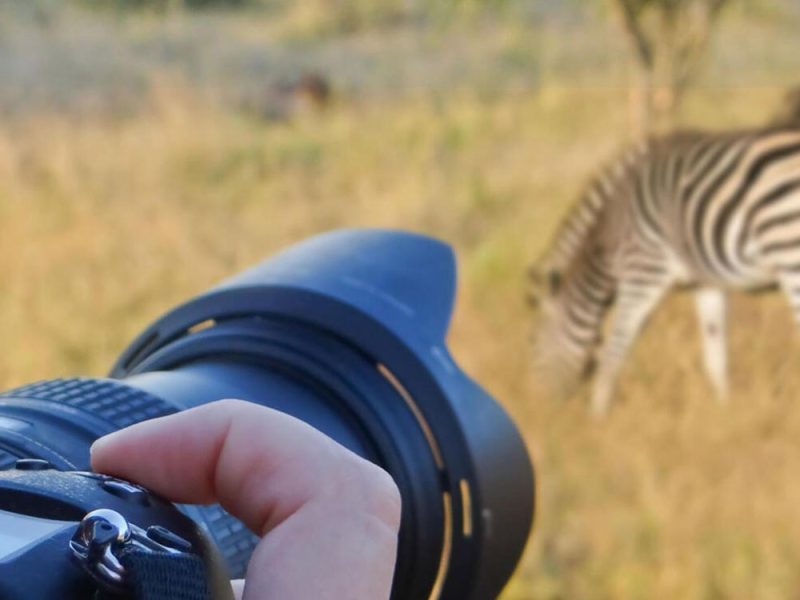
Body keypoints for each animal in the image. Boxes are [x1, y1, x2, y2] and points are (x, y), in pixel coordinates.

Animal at [528, 125, 800, 418]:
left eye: (532, 343)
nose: (540, 409)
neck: (611, 233)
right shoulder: (704, 283)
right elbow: (715, 358)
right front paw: (724, 413)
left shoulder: (643, 273)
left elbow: (615, 350)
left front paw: (598, 417)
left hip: (788, 251)